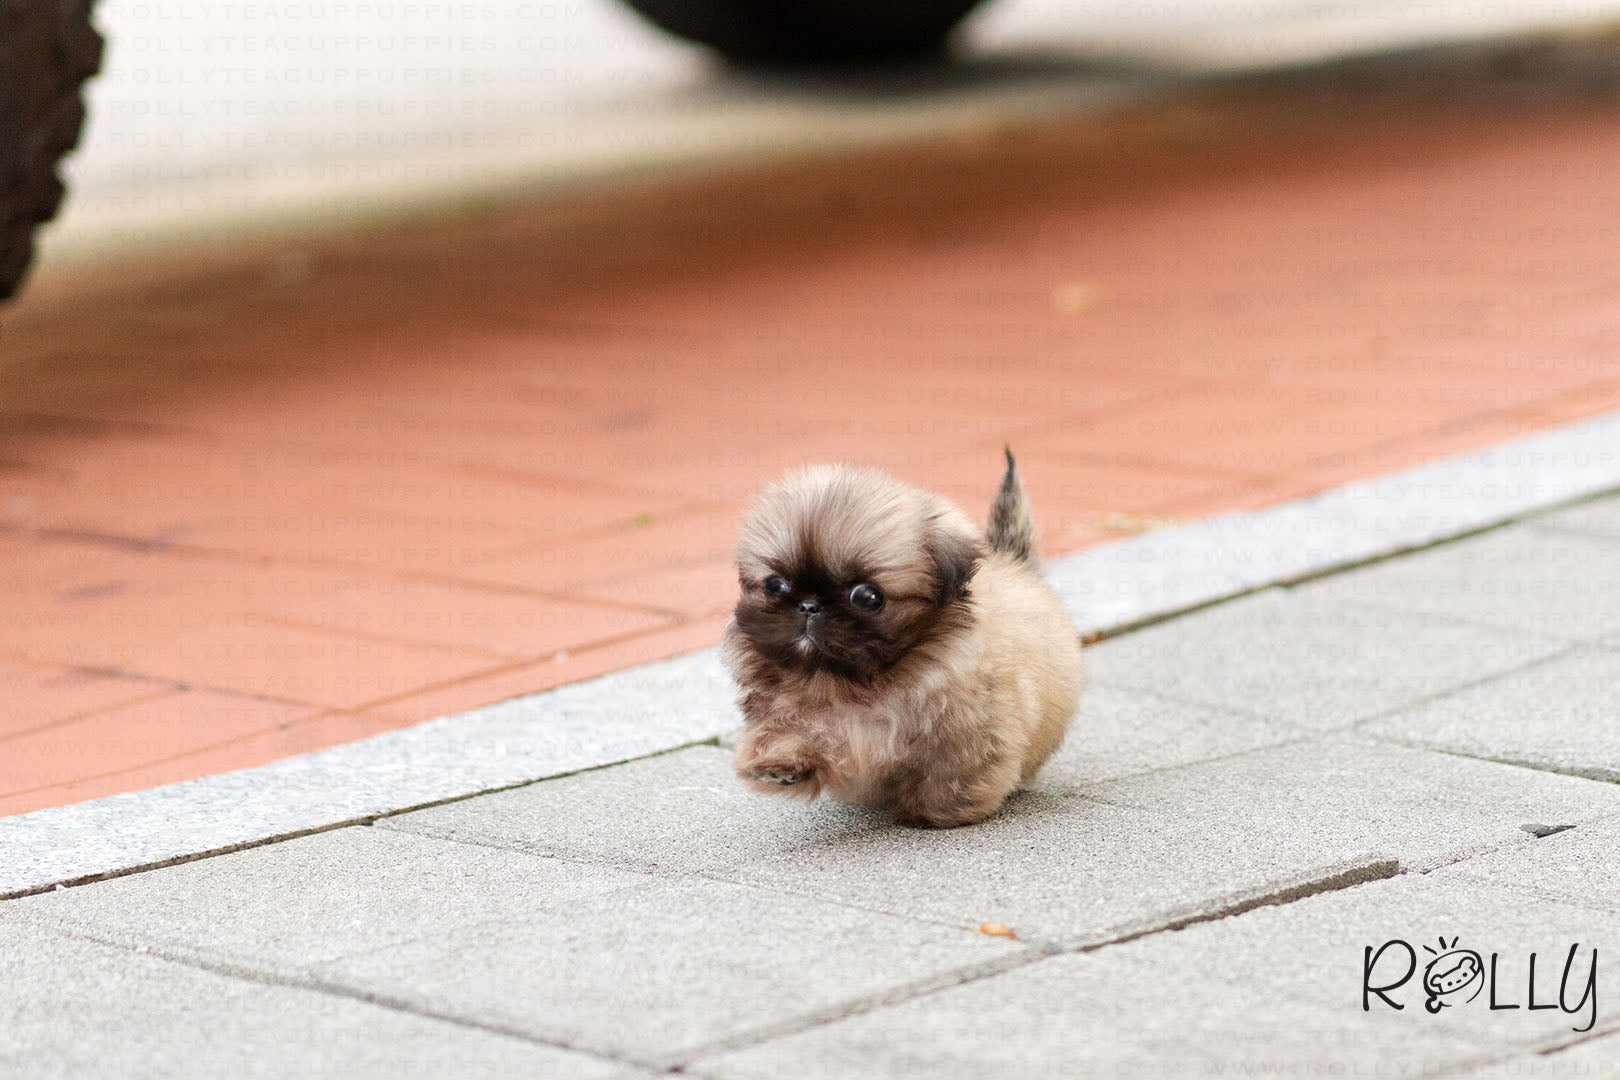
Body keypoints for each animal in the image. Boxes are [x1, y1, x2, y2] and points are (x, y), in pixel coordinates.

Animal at [725, 446, 1082, 829]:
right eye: (774, 585)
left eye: (867, 597)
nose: (809, 605)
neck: (856, 683)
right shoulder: (798, 714)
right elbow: (796, 733)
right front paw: (779, 764)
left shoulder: (970, 735)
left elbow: (952, 775)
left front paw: (935, 812)